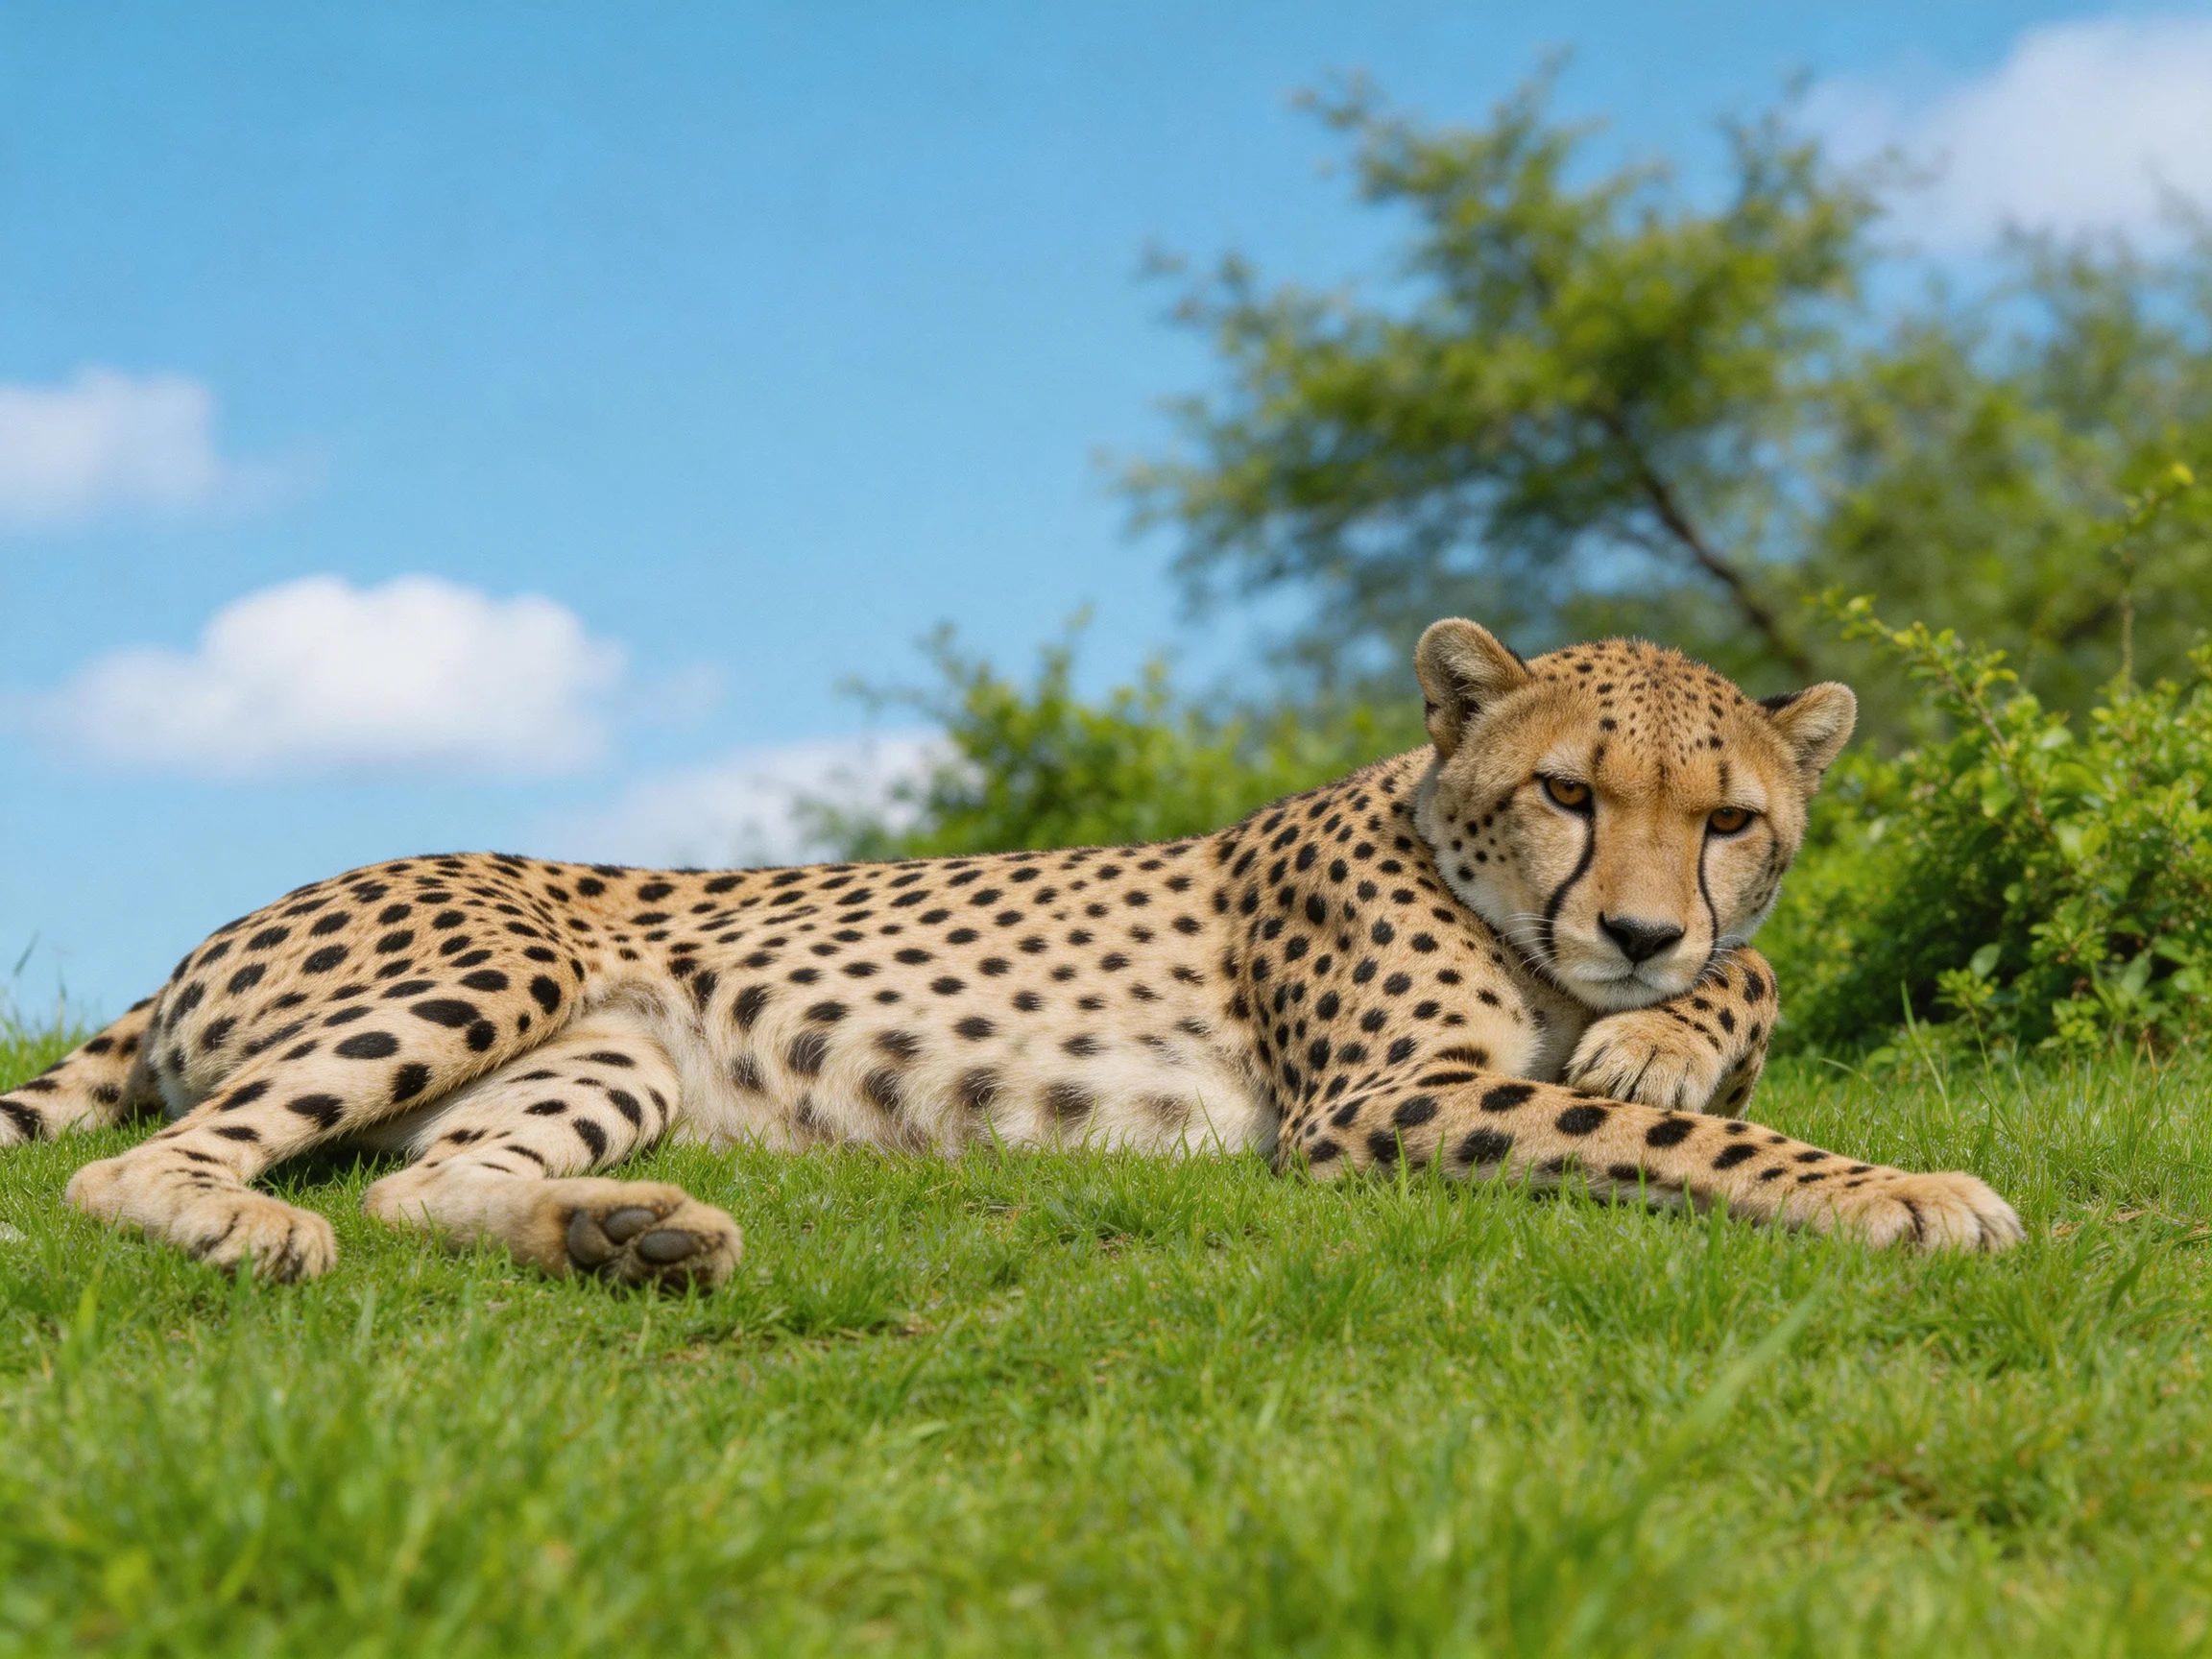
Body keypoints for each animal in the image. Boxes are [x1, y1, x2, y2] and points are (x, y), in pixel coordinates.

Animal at [0, 618, 2023, 1285]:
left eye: (1728, 819)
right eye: (1566, 790)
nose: (1632, 920)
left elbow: (1720, 1016)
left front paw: (1675, 1018)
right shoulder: (1370, 1105)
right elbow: (1673, 1140)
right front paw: (1900, 1188)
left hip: (615, 1050)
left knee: (429, 1188)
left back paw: (626, 1236)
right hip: (491, 969)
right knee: (137, 1165)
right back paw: (248, 1226)